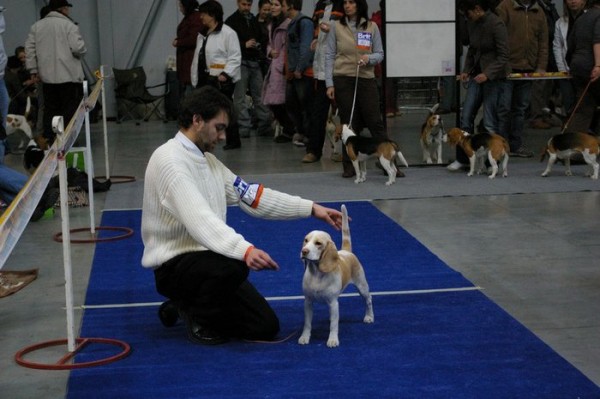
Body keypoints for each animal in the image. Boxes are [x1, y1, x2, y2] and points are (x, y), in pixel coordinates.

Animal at [298, 205, 372, 348]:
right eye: (306, 240)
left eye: (318, 243)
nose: (304, 251)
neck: (317, 273)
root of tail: (347, 252)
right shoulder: (308, 302)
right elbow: (307, 324)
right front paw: (304, 337)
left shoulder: (333, 303)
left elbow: (333, 325)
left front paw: (332, 340)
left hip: (362, 286)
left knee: (368, 300)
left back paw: (369, 317)